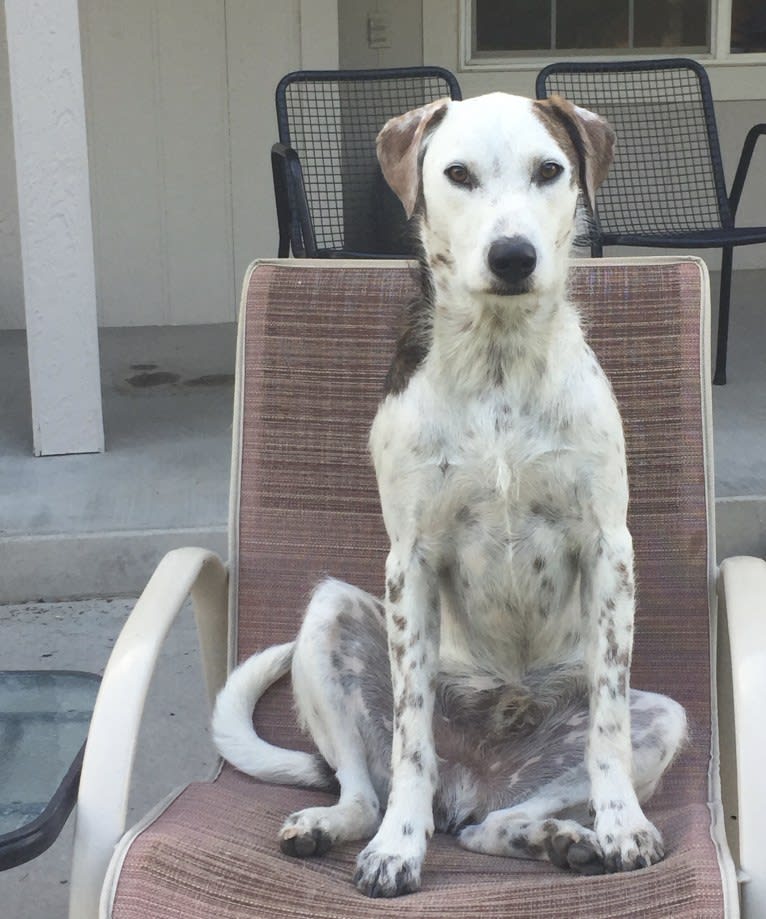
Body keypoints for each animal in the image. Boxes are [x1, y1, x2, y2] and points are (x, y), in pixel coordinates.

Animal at [212, 93, 688, 900]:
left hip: (664, 717)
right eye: (457, 174)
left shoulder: (609, 549)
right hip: (330, 619)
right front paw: (398, 849)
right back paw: (339, 825)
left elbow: (608, 734)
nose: (513, 256)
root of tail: (473, 783)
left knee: (495, 823)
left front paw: (622, 826)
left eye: (550, 170)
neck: (498, 361)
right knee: (367, 791)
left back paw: (562, 838)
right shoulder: (409, 558)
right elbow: (410, 739)